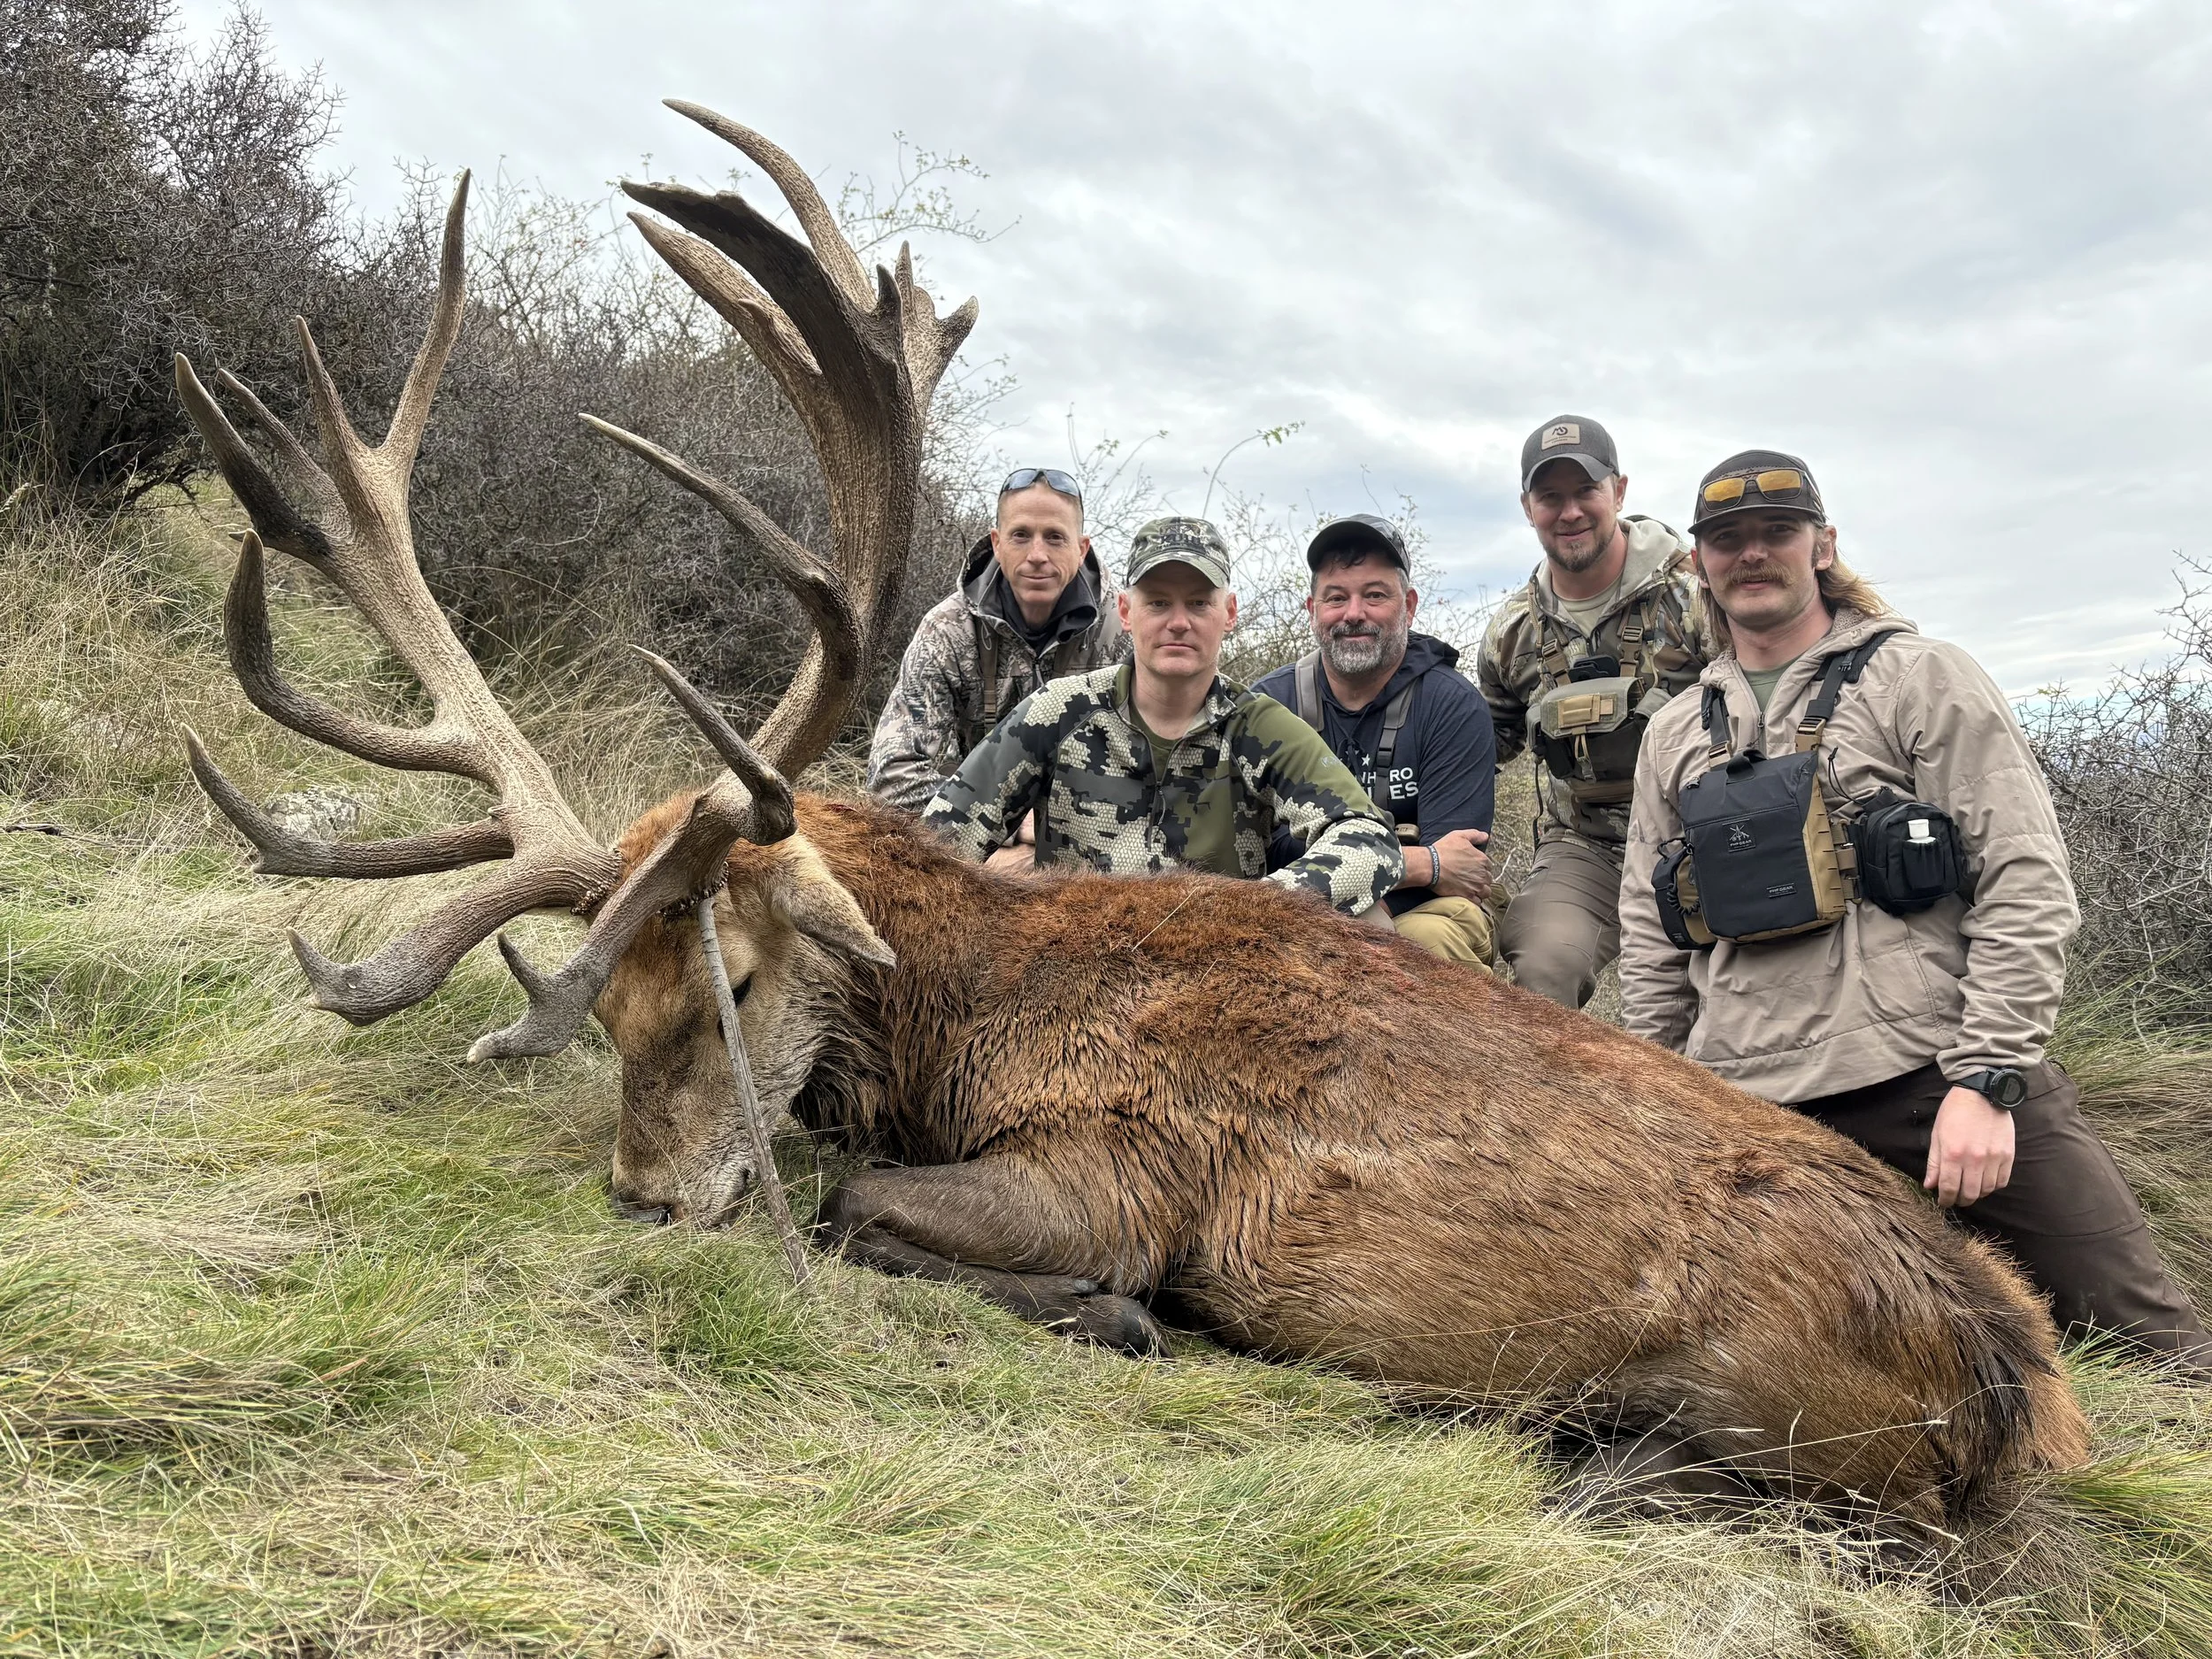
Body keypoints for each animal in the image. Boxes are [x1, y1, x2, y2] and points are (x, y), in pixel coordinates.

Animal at [174, 103, 2091, 1530]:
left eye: (731, 973)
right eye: (604, 1004)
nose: (649, 1197)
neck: (970, 1012)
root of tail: (2025, 1388)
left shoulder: (1125, 1165)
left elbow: (869, 1201)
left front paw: (1112, 1314)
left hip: (1779, 1400)